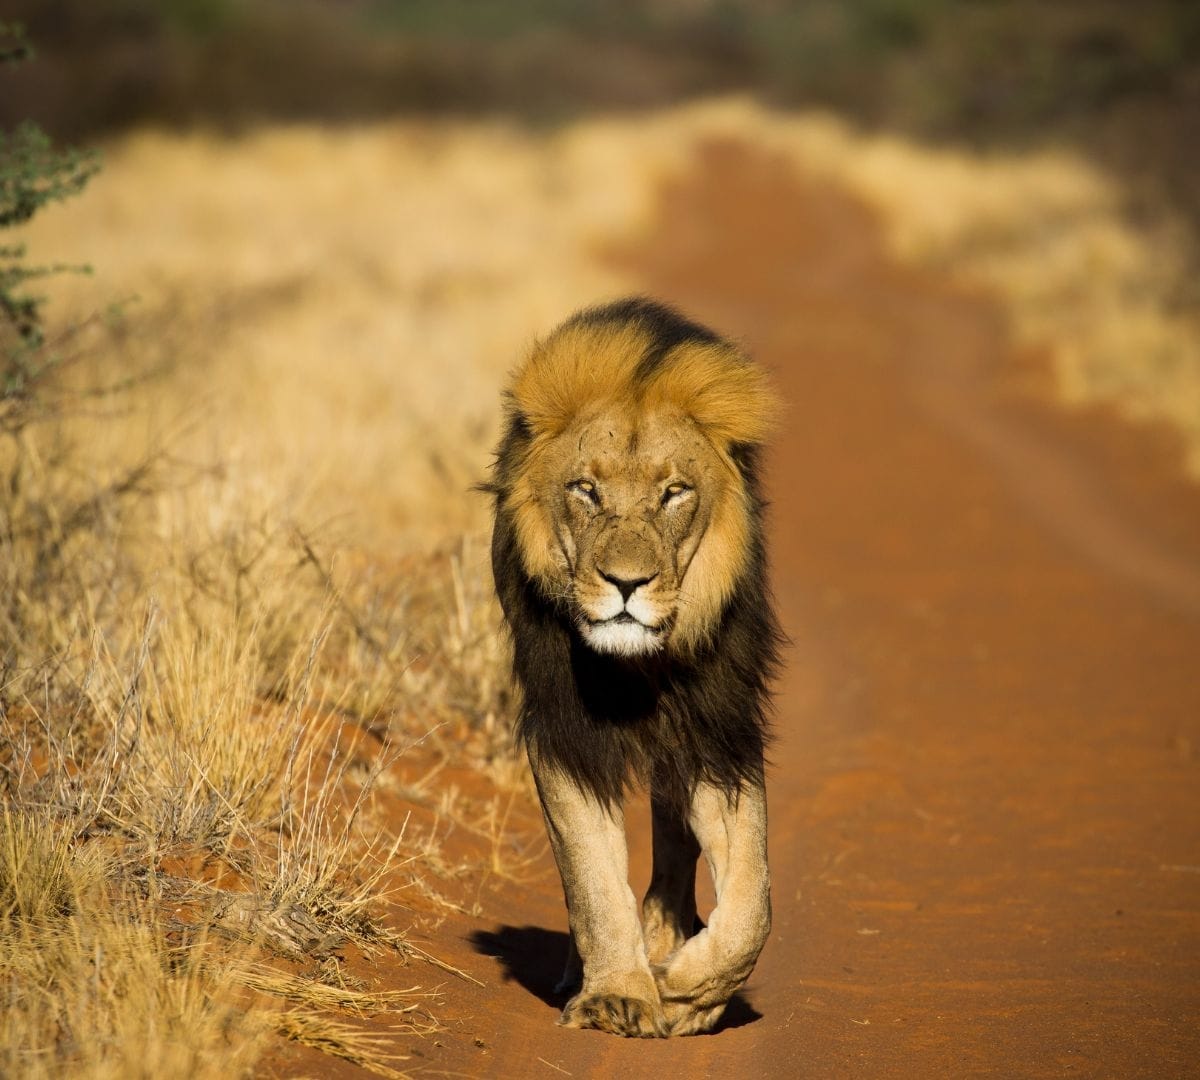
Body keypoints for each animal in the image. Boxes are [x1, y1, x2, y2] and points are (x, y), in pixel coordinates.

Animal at [486, 297, 782, 1038]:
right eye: (585, 490)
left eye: (674, 492)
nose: (627, 584)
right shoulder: (563, 729)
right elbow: (591, 873)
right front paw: (617, 994)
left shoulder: (717, 725)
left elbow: (754, 895)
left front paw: (690, 991)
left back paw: (667, 938)